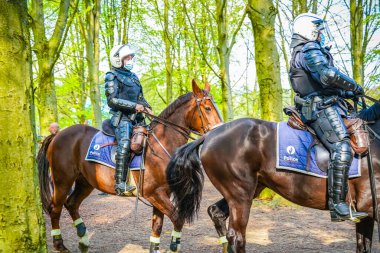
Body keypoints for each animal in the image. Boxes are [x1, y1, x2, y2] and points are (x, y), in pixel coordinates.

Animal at [37, 80, 223, 253]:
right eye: (207, 108)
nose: (218, 132)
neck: (160, 145)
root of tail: (57, 135)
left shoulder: (162, 194)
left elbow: (157, 226)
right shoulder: (154, 194)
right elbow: (178, 218)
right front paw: (174, 246)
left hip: (85, 182)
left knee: (71, 204)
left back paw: (83, 240)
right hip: (62, 181)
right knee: (55, 209)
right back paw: (60, 245)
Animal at [167, 115, 380, 252]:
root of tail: (209, 135)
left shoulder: (366, 214)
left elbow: (363, 246)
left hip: (247, 190)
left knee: (217, 214)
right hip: (240, 195)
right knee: (237, 236)